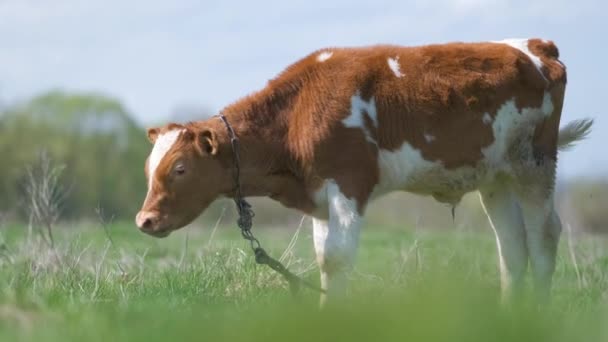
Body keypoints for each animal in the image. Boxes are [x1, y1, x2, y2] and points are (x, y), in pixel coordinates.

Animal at [137, 38, 592, 304]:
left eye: (179, 168)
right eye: (149, 168)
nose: (144, 220)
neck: (299, 110)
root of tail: (535, 46)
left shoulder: (349, 183)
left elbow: (339, 258)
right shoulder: (320, 195)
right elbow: (325, 259)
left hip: (533, 165)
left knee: (544, 234)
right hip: (495, 178)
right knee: (512, 245)